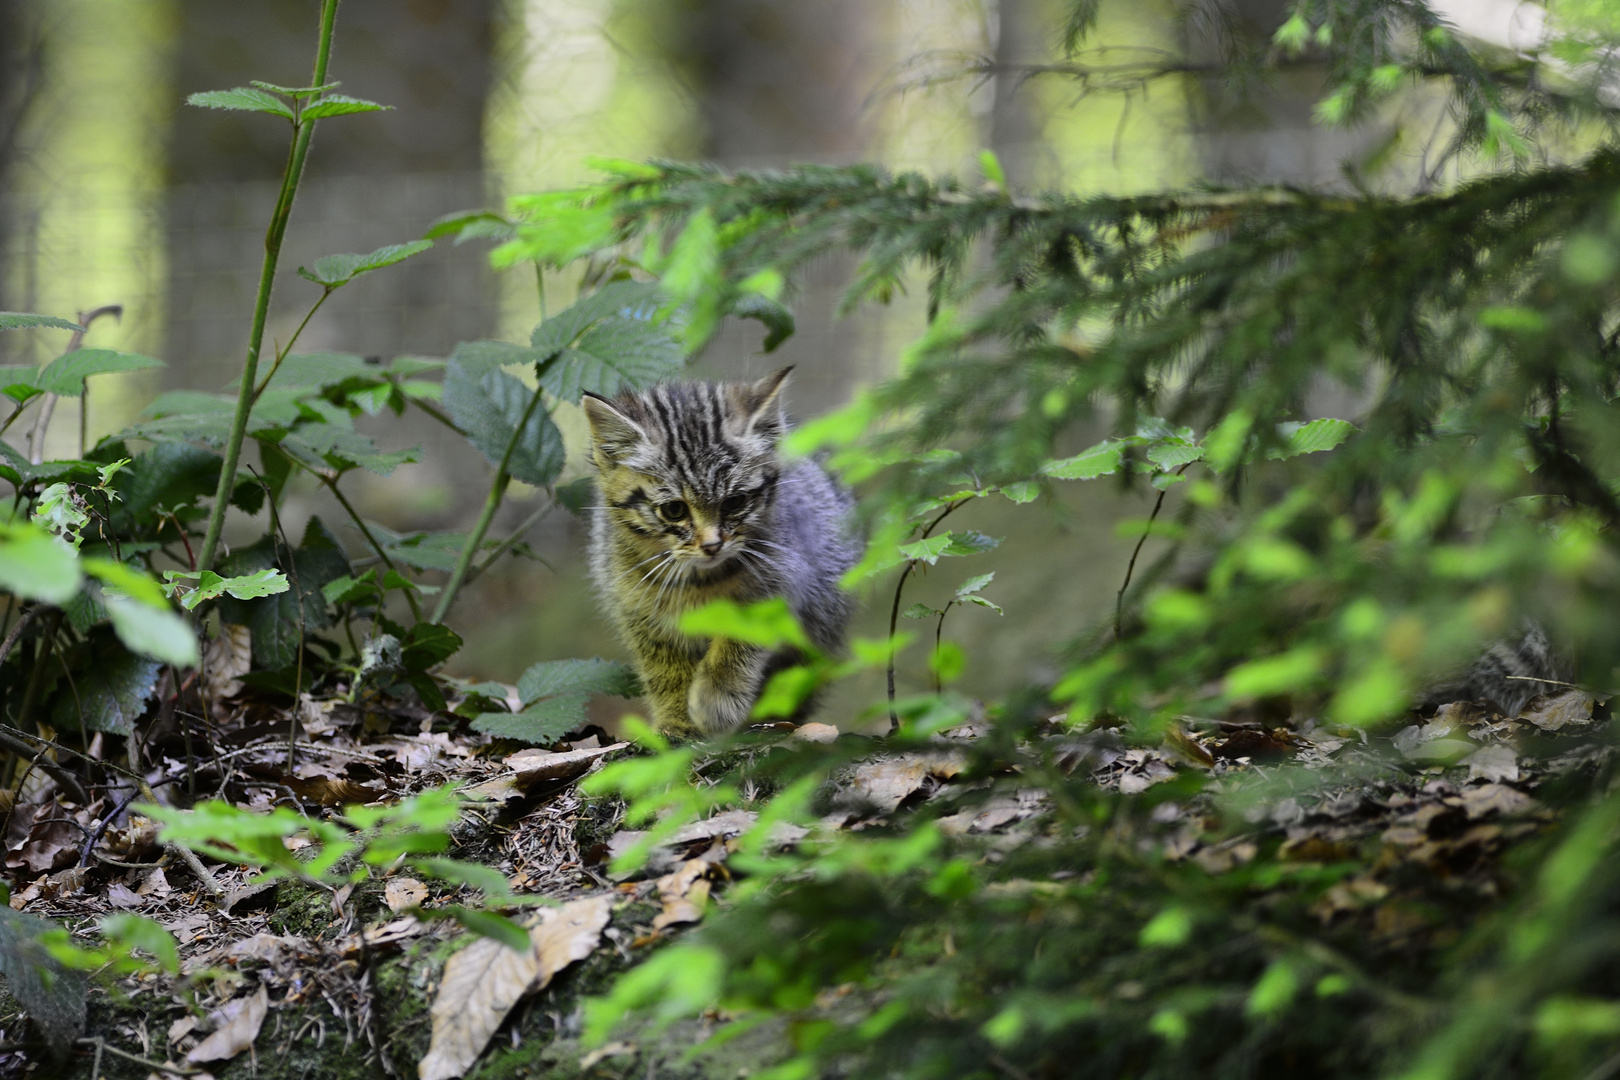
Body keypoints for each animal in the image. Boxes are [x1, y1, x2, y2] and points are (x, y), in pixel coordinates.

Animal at [583, 369, 861, 735]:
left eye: (735, 502)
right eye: (674, 510)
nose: (712, 545)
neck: (699, 582)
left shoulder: (782, 580)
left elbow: (739, 637)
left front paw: (717, 698)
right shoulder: (637, 610)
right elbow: (664, 669)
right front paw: (675, 720)